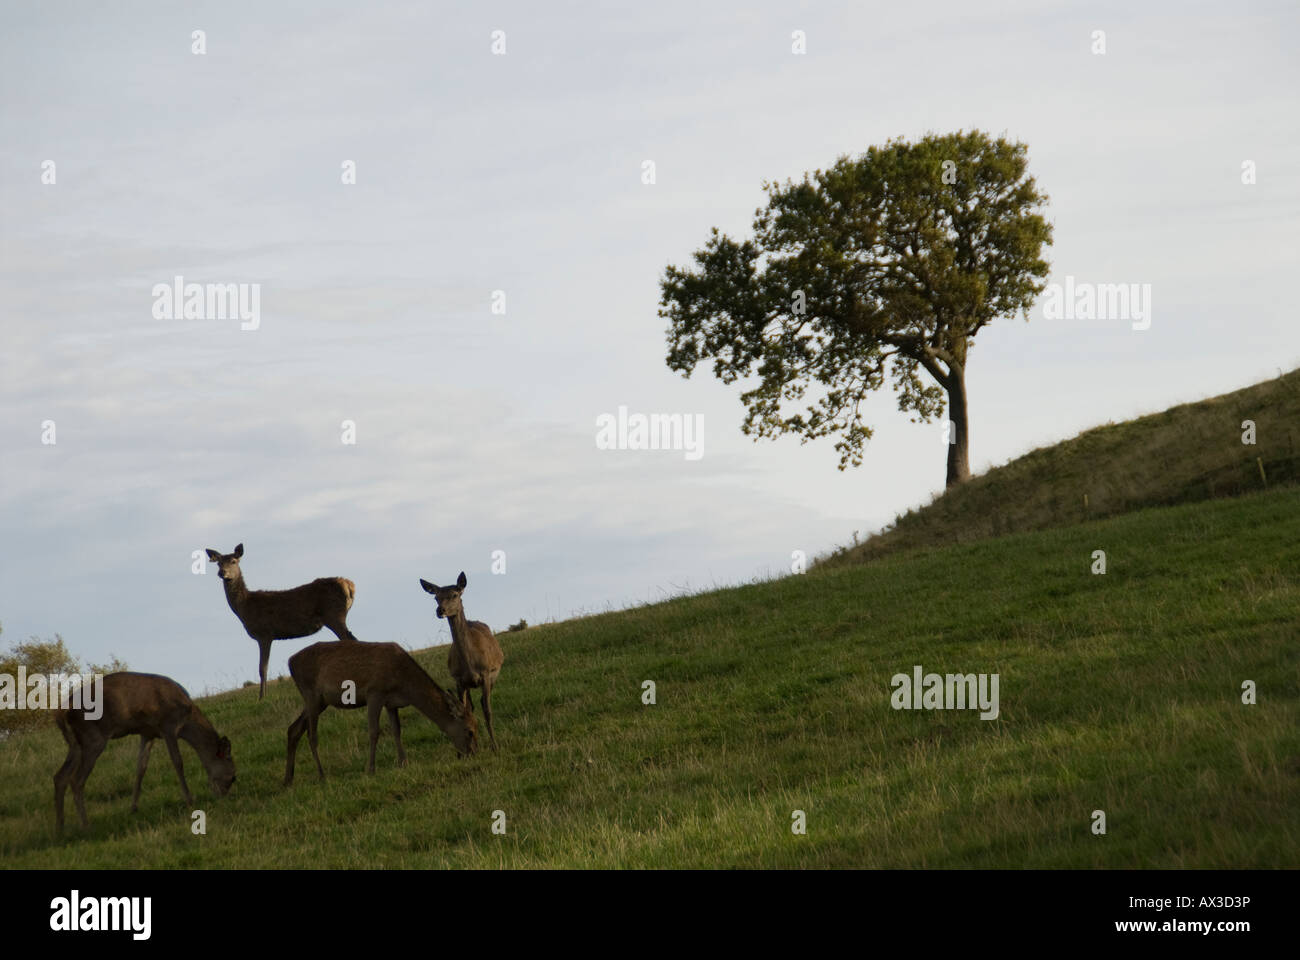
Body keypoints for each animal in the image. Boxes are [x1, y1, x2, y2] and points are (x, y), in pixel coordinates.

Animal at [54, 672, 235, 835]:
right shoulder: (168, 726)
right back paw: (85, 825)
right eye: (233, 777)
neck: (186, 721)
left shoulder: (148, 733)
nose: (223, 796)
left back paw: (60, 828)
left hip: (75, 743)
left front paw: (133, 807)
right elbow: (177, 761)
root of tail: (62, 711)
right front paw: (190, 800)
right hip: (93, 738)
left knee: (60, 776)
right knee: (76, 780)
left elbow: (141, 767)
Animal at [205, 543, 358, 700]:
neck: (245, 608)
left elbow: (262, 668)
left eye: (233, 561)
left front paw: (262, 698)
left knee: (349, 639)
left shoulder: (264, 633)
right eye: (218, 563)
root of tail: (349, 585)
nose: (222, 572)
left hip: (334, 615)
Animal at [283, 639, 478, 785]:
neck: (404, 686)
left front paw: (403, 762)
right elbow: (374, 732)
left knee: (294, 729)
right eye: (470, 731)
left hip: (320, 701)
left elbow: (397, 730)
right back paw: (322, 775)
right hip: (311, 694)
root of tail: (290, 662)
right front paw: (370, 770)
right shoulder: (375, 692)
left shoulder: (391, 702)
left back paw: (288, 779)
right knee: (311, 735)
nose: (473, 753)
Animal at [419, 572, 504, 750]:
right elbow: (464, 712)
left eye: (455, 594)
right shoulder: (458, 680)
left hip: (493, 675)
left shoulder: (486, 674)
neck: (470, 664)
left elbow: (487, 710)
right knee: (471, 707)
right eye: (436, 597)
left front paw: (495, 746)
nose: (440, 610)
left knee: (482, 703)